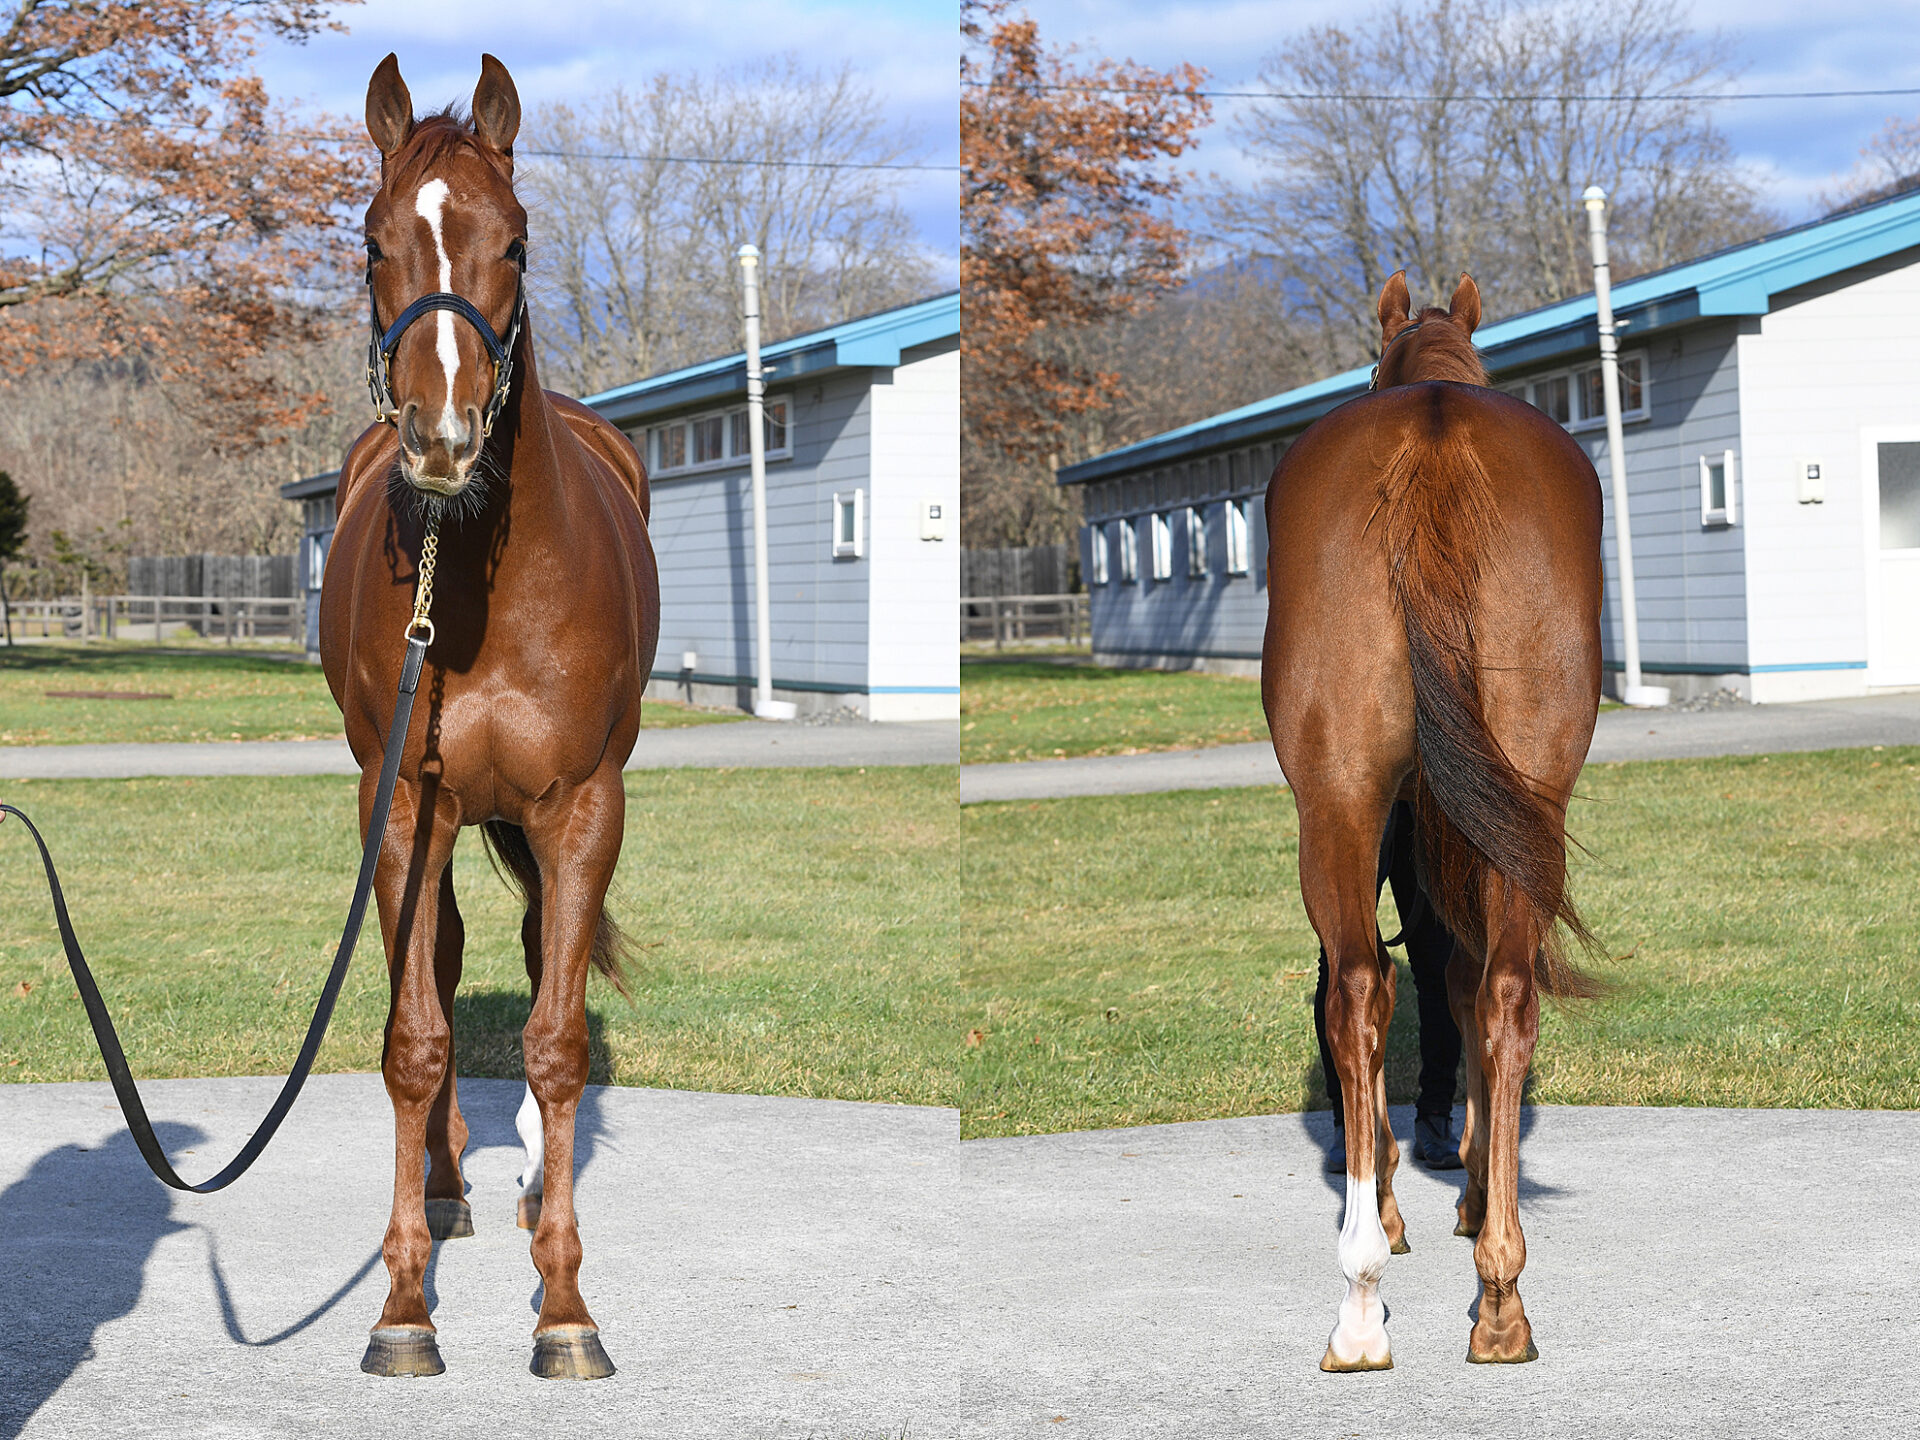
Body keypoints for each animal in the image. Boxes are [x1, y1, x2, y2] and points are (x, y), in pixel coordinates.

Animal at [319, 53, 659, 1380]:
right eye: (373, 244)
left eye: (513, 242)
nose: (446, 437)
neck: (486, 588)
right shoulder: (403, 804)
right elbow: (411, 1042)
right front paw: (405, 1306)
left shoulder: (581, 809)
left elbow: (558, 1042)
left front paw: (565, 1308)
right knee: (452, 962)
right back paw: (454, 1186)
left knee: (518, 956)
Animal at [1261, 270, 1602, 1370]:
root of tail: (1435, 432)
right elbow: (1460, 986)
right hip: (1514, 800)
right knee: (1497, 995)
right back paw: (1497, 1299)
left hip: (1343, 810)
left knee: (1360, 991)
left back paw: (1367, 1290)